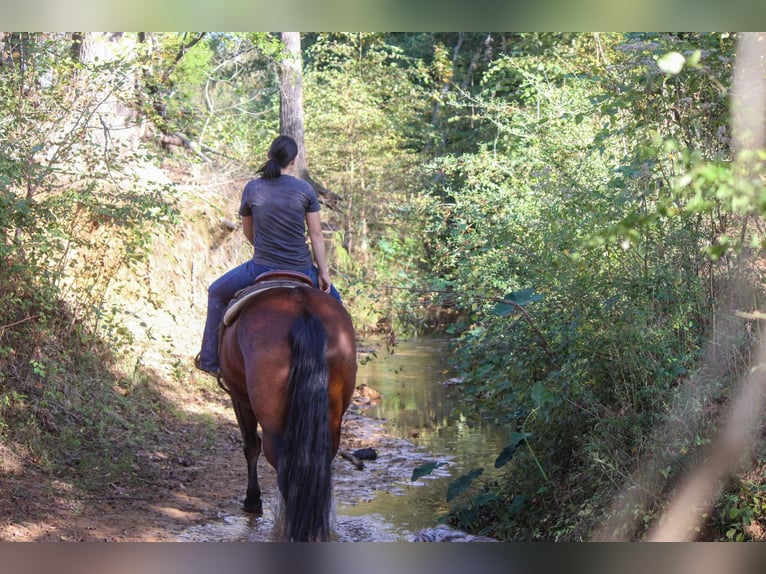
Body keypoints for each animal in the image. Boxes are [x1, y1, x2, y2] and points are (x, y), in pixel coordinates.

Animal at [218, 272, 358, 544]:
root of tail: (303, 311)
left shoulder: (239, 397)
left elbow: (250, 446)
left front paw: (252, 501)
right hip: (331, 419)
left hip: (273, 424)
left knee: (284, 467)